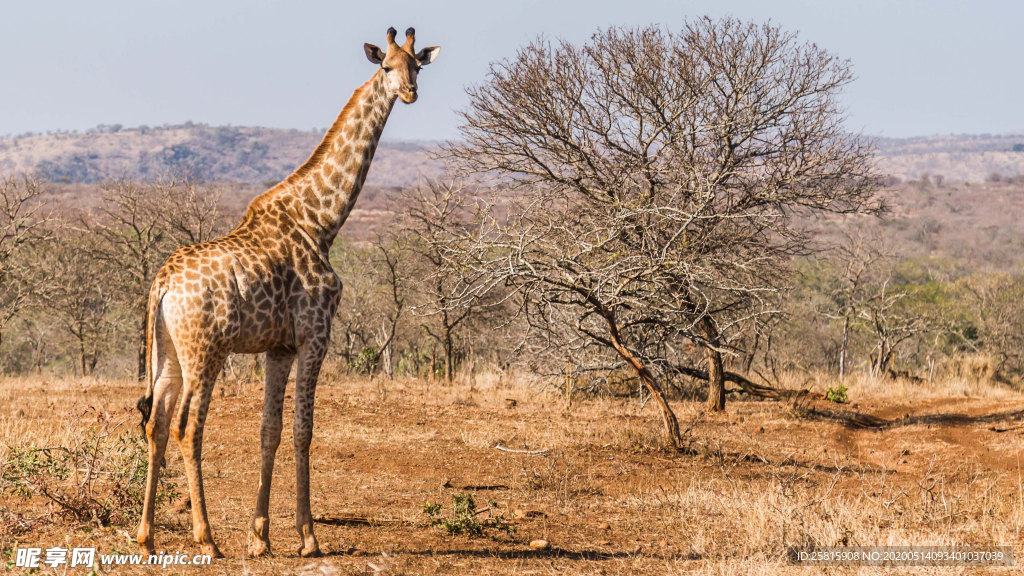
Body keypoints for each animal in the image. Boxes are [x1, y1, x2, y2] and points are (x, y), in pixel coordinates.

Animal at [134, 28, 438, 557]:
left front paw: (260, 537)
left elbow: (269, 430)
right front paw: (308, 538)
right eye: (386, 66)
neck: (323, 222)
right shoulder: (316, 335)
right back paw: (207, 538)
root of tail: (163, 283)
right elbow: (303, 431)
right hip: (206, 351)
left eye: (417, 65)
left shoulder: (278, 347)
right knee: (187, 427)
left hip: (167, 352)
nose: (410, 92)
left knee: (156, 424)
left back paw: (147, 536)